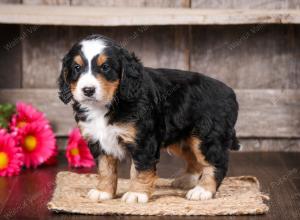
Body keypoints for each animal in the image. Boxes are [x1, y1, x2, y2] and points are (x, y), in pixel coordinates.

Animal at [58, 34, 239, 203]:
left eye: (106, 67)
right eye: (76, 67)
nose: (88, 90)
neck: (108, 104)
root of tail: (229, 92)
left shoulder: (143, 140)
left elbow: (140, 169)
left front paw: (136, 194)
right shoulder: (98, 140)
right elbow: (105, 169)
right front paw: (103, 192)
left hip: (206, 136)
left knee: (216, 163)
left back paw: (202, 190)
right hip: (183, 137)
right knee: (195, 159)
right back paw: (188, 180)